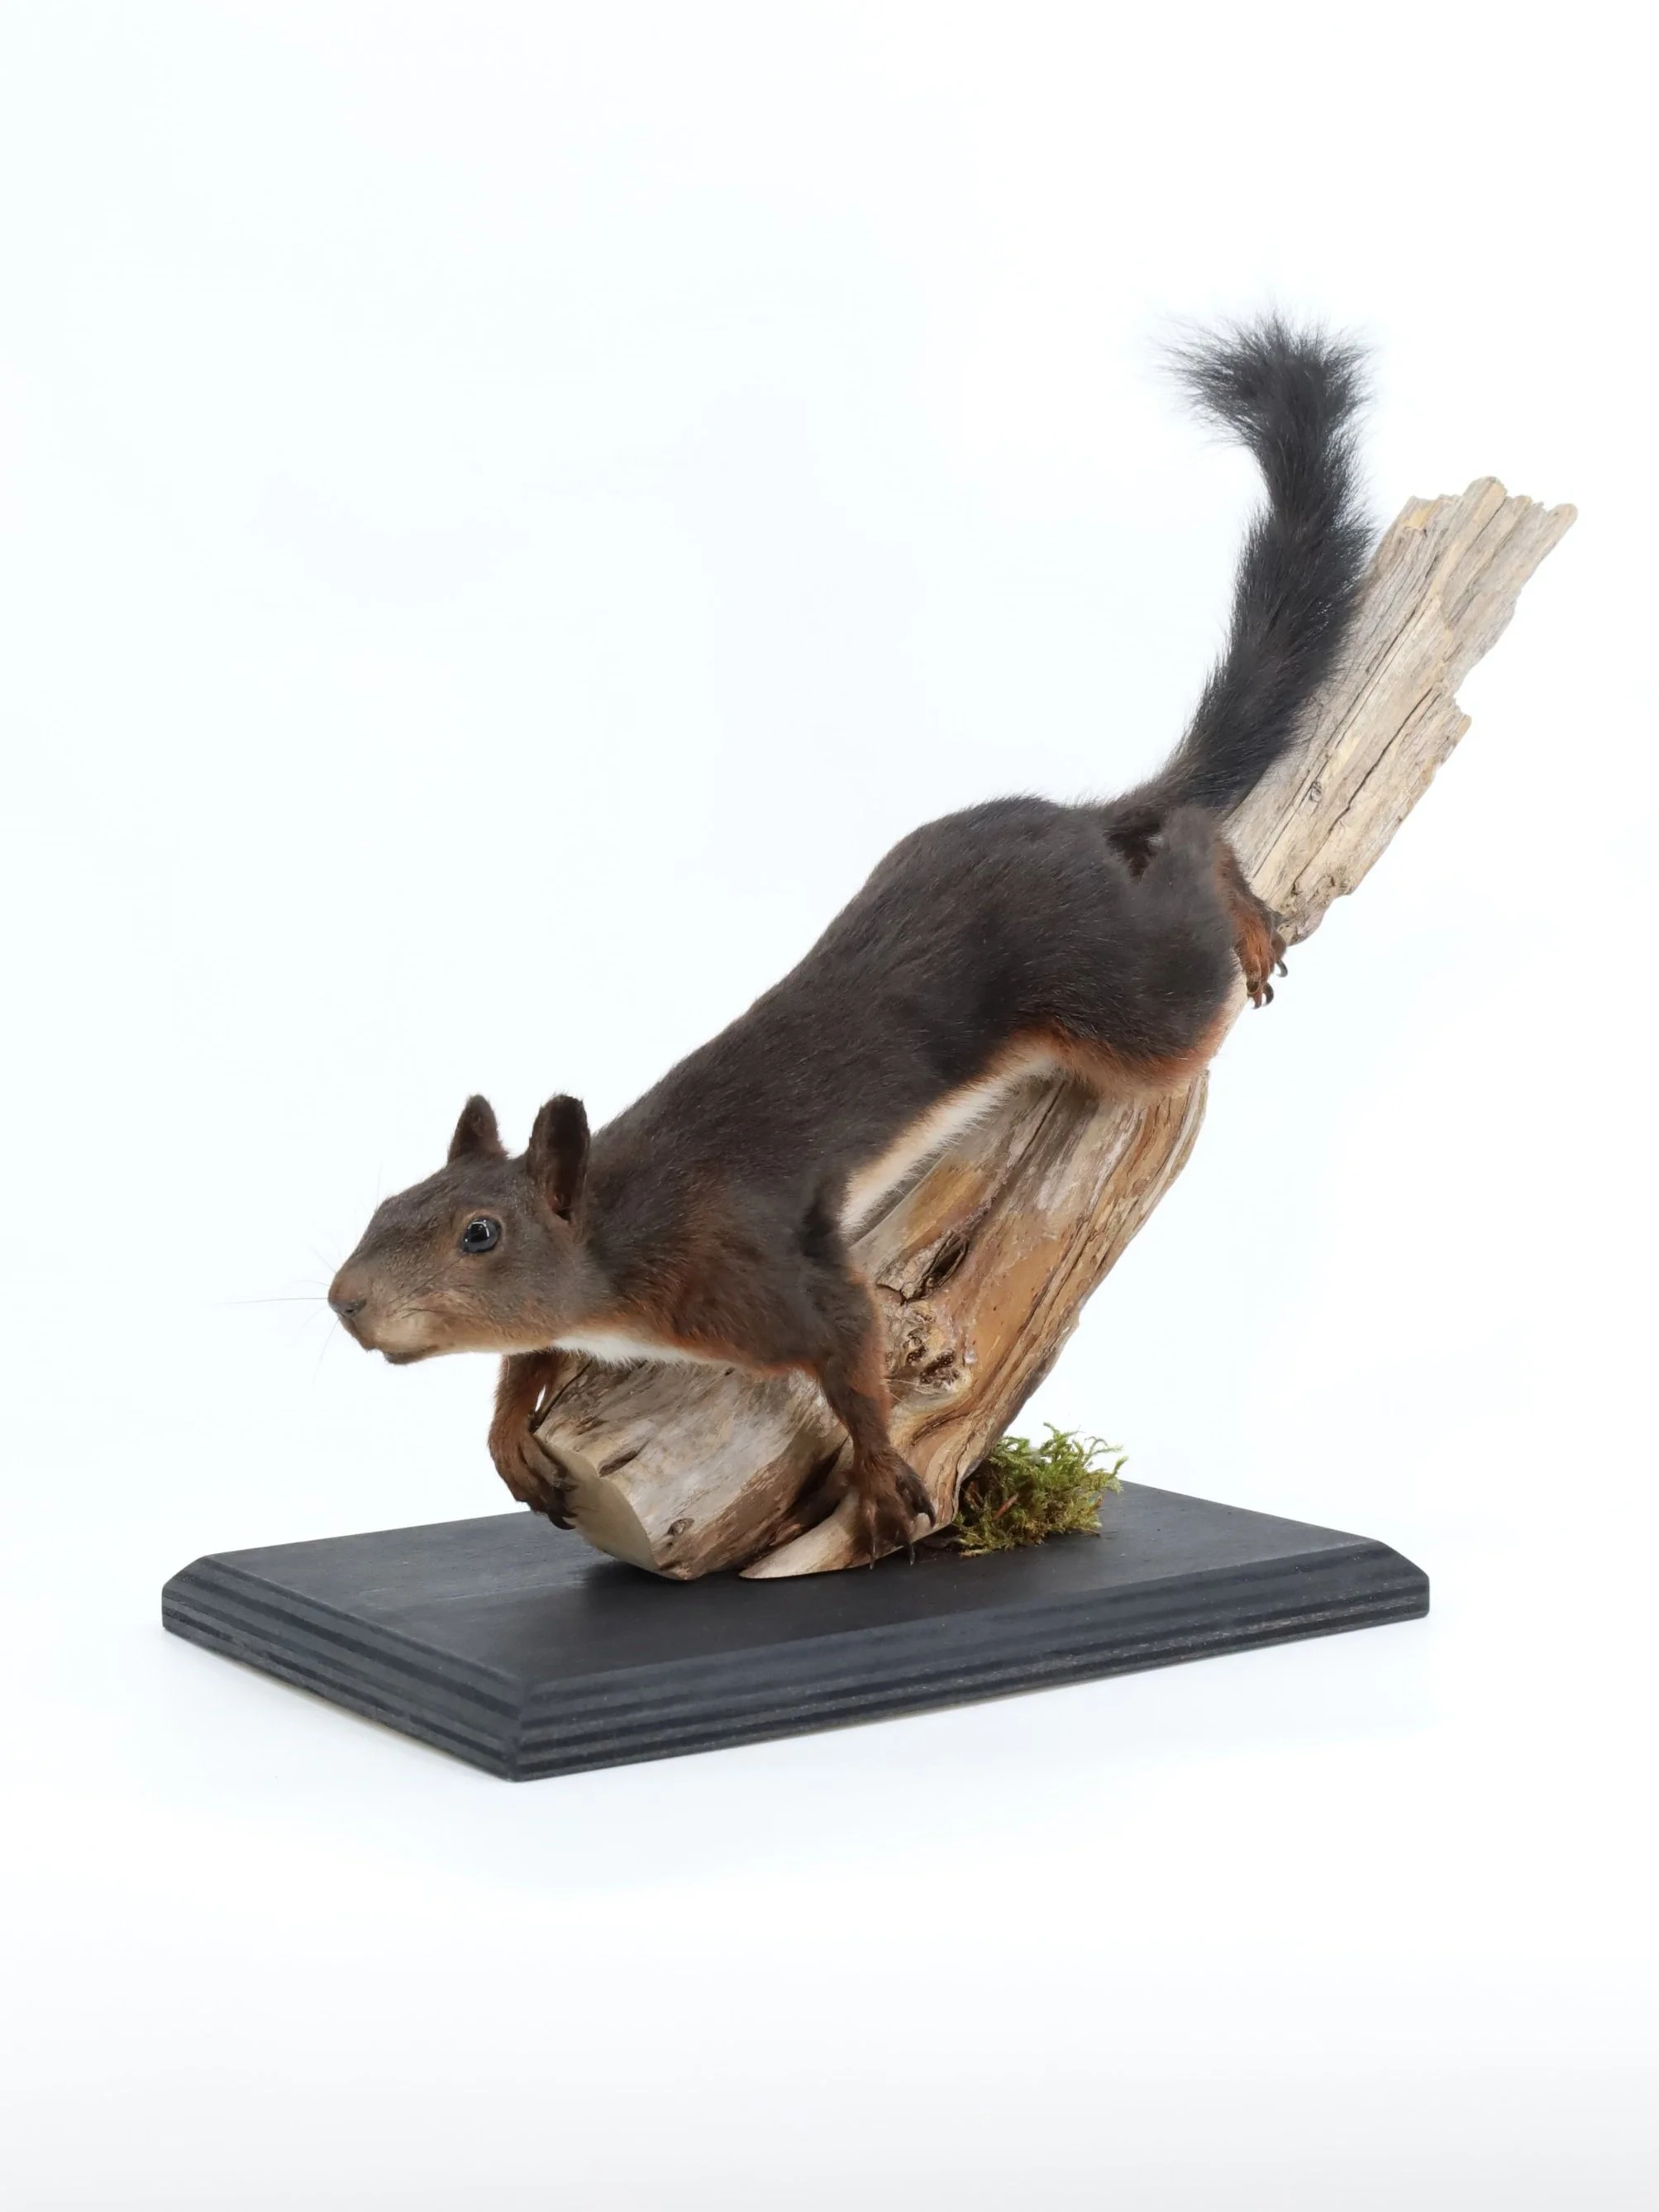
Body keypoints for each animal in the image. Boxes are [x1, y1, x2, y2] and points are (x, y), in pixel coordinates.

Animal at [329, 317, 1370, 1562]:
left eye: (478, 1235)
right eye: (387, 1204)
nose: (342, 1302)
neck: (619, 1237)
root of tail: (1073, 826)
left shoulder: (759, 1282)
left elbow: (854, 1359)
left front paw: (876, 1477)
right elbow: (532, 1352)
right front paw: (503, 1427)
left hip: (1124, 1004)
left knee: (1187, 888)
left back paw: (1238, 902)